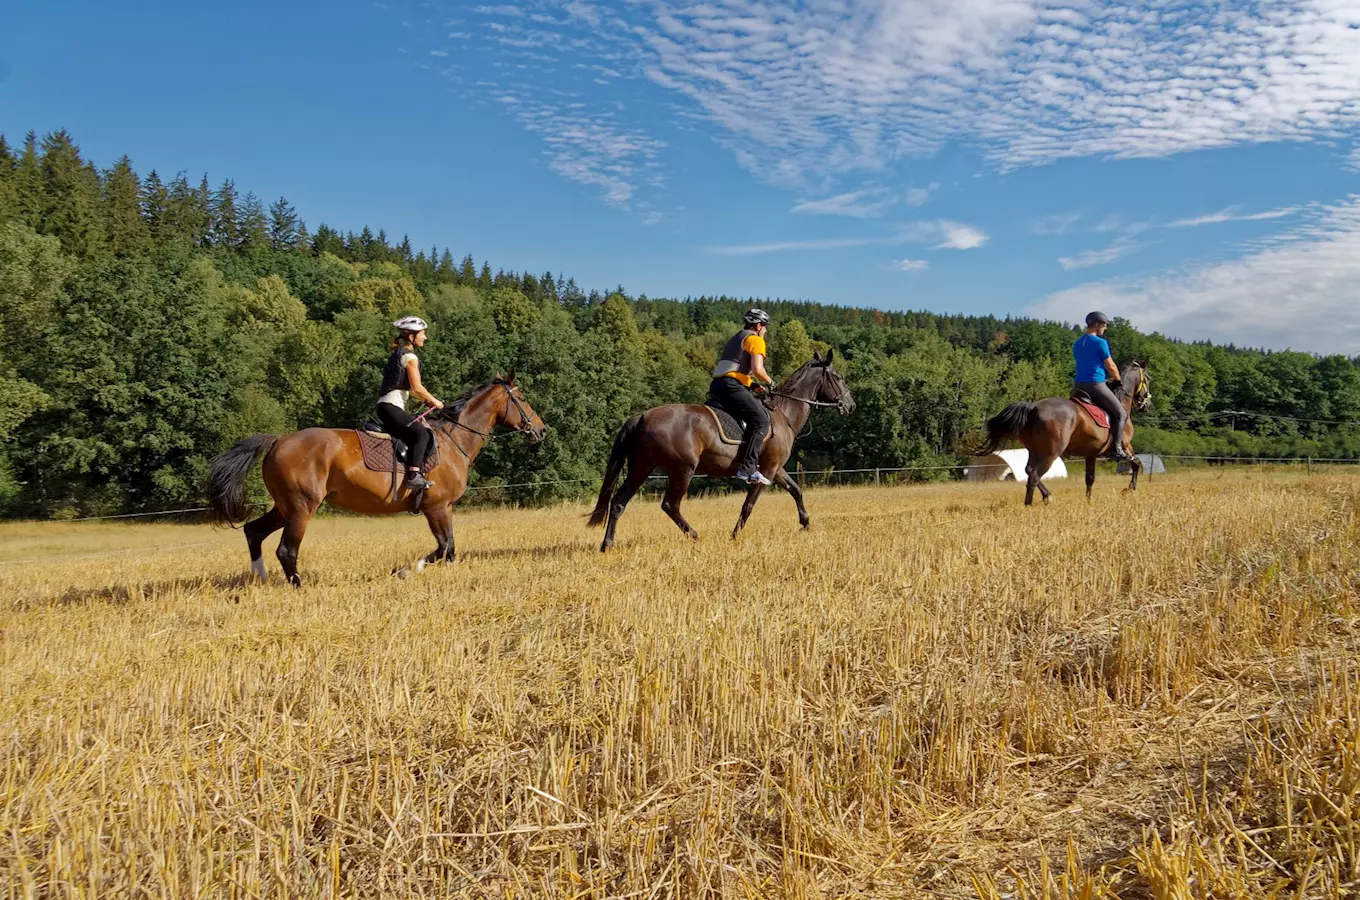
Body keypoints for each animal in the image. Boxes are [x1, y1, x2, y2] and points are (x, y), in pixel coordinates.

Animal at [204, 377, 544, 590]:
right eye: (522, 398)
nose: (541, 430)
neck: (453, 440)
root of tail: (278, 440)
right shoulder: (437, 507)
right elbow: (444, 547)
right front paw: (407, 570)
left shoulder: (439, 509)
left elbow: (447, 549)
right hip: (301, 507)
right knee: (286, 549)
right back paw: (299, 588)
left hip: (285, 506)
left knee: (254, 531)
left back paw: (259, 579)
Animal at [584, 353, 848, 554]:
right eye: (838, 377)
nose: (850, 404)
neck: (783, 413)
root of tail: (642, 416)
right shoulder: (767, 469)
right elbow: (748, 505)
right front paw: (734, 536)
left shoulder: (775, 469)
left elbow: (796, 490)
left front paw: (806, 524)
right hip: (682, 470)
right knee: (670, 505)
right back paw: (694, 535)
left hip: (641, 468)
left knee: (619, 502)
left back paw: (607, 545)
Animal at [973, 361, 1153, 508]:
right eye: (1148, 379)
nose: (1148, 405)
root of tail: (1034, 407)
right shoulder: (1125, 445)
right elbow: (1136, 463)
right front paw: (1129, 489)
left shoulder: (1091, 454)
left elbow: (1090, 478)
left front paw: (1088, 500)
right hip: (1051, 452)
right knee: (1034, 475)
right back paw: (1029, 505)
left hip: (1035, 450)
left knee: (1029, 471)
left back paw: (1047, 497)